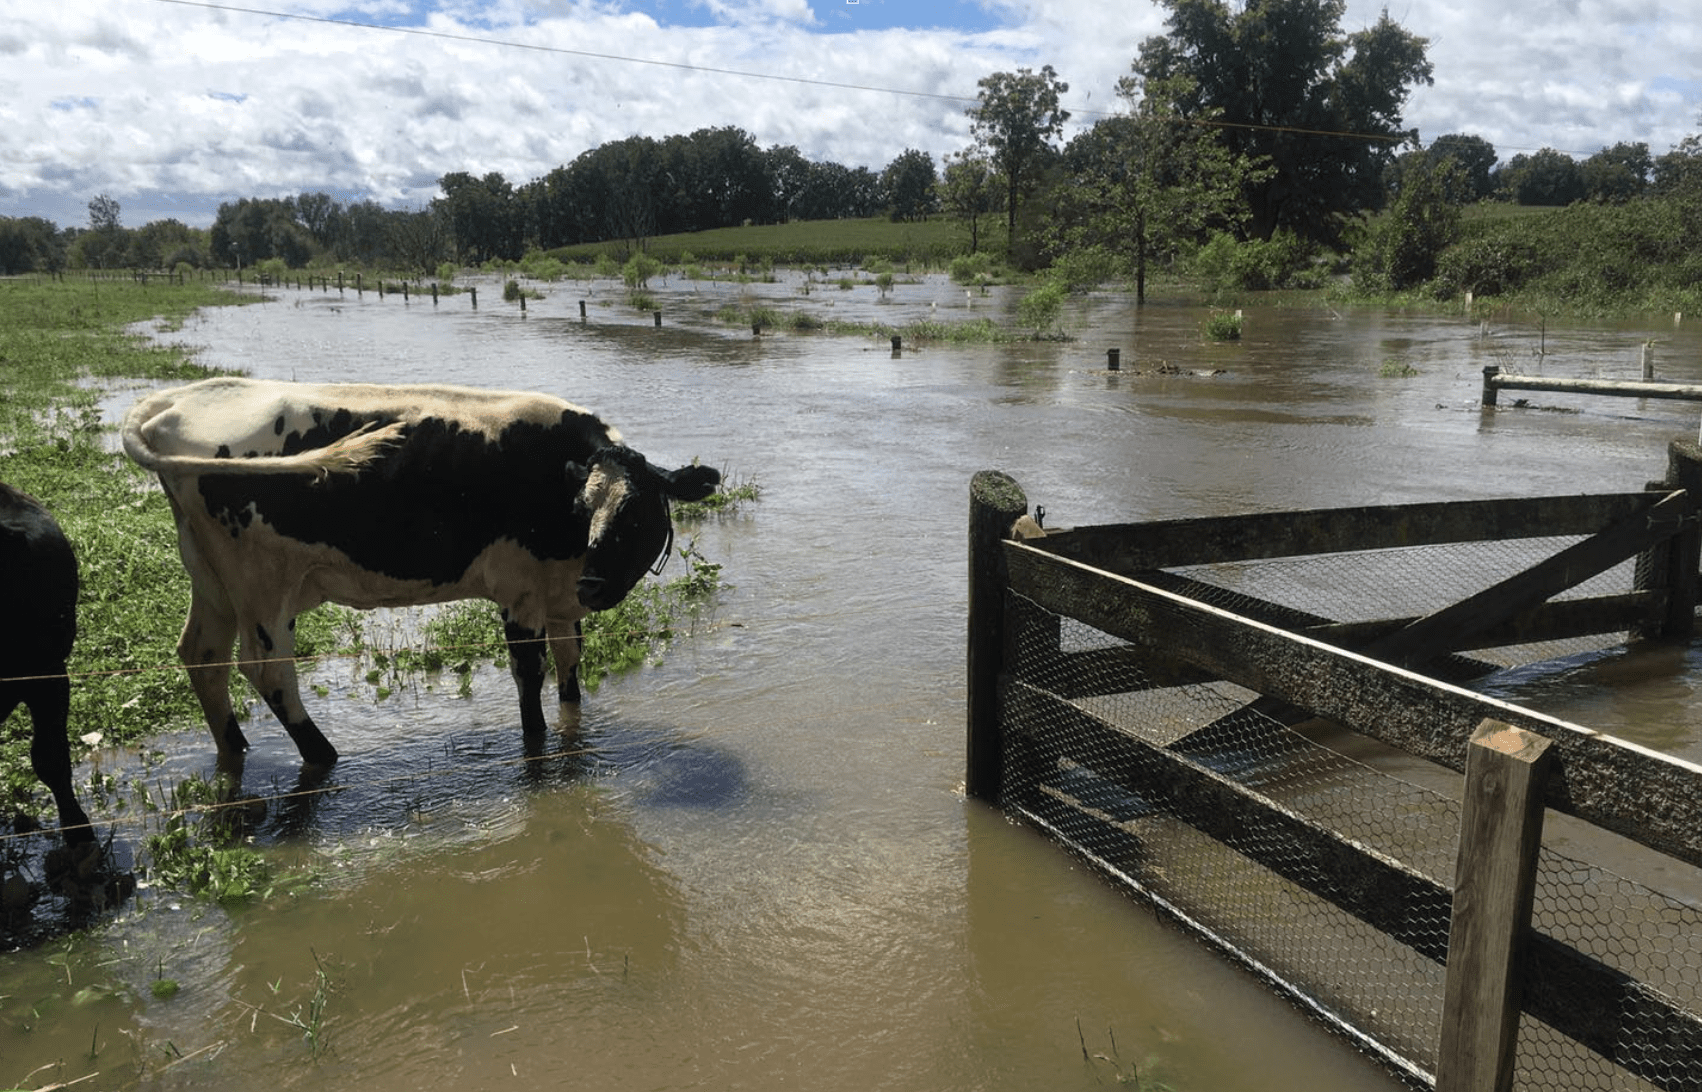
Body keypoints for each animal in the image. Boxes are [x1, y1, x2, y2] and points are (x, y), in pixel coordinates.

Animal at [121, 374, 718, 775]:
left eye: (636, 514)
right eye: (582, 507)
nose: (594, 586)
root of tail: (178, 399)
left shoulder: (559, 595)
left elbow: (570, 666)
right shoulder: (520, 592)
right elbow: (531, 677)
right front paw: (536, 746)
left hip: (213, 579)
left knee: (202, 655)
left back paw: (236, 747)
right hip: (261, 586)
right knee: (266, 670)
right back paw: (323, 755)